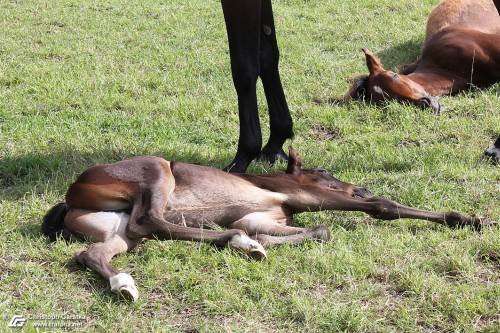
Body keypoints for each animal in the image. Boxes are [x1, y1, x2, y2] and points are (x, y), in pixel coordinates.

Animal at [43, 147, 496, 300]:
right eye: (325, 172)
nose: (360, 187)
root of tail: (70, 195)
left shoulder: (265, 214)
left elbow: (313, 232)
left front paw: (256, 244)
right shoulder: (301, 196)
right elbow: (381, 208)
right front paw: (466, 218)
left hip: (114, 227)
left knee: (94, 251)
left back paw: (124, 284)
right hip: (155, 171)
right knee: (151, 221)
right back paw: (230, 238)